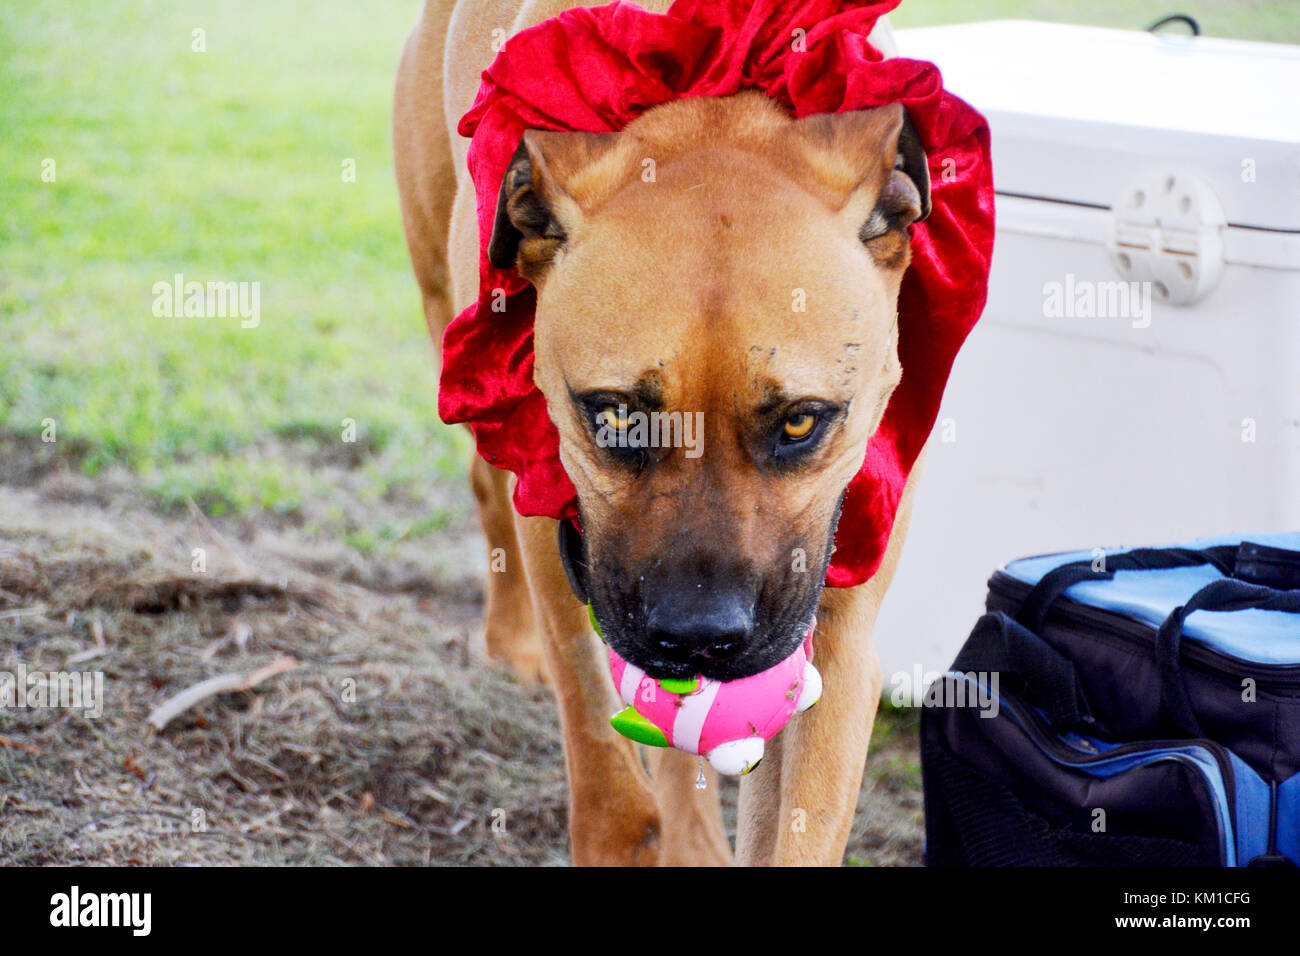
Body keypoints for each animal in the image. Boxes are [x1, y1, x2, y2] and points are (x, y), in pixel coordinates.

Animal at [392, 0, 925, 868]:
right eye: (614, 414)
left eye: (802, 421)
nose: (699, 636)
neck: (710, 102)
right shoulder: (562, 545)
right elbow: (608, 777)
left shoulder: (838, 635)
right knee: (485, 486)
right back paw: (511, 640)